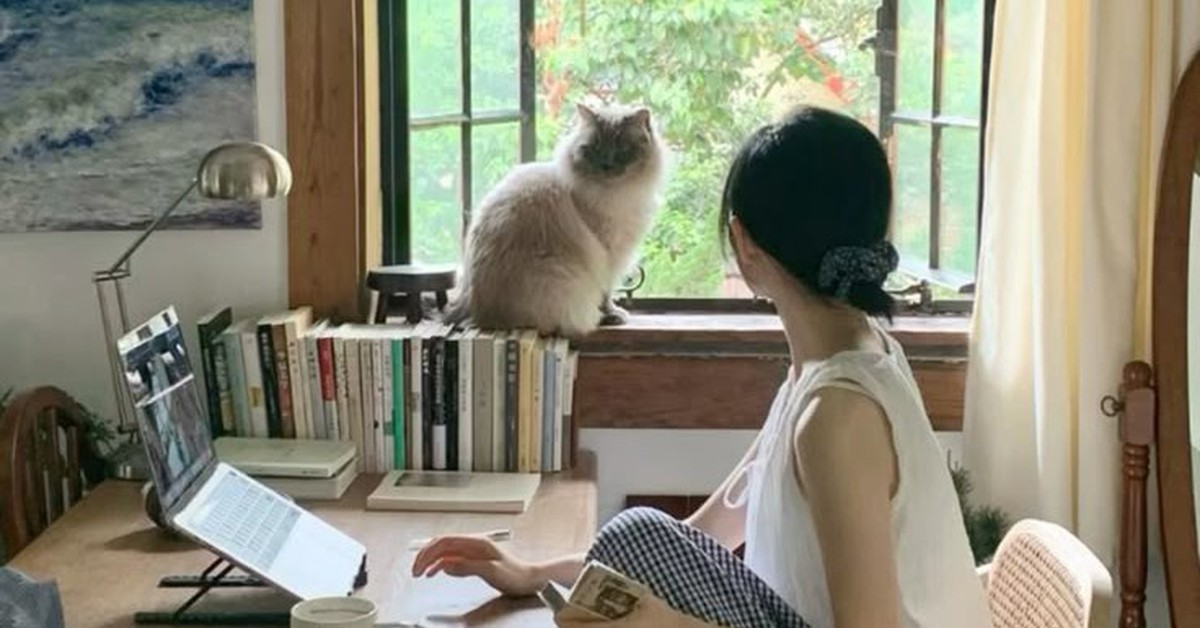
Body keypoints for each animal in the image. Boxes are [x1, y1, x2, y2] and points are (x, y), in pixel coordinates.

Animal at [445, 101, 667, 337]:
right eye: (594, 149)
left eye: (622, 150)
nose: (606, 165)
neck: (618, 193)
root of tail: (472, 311)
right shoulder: (609, 255)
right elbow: (606, 293)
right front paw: (612, 316)